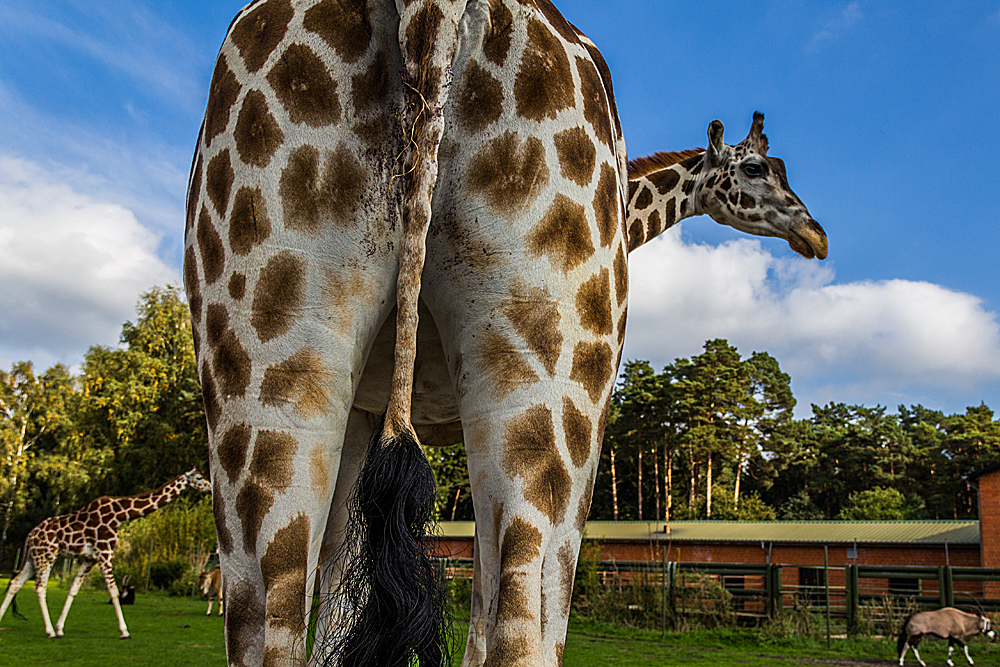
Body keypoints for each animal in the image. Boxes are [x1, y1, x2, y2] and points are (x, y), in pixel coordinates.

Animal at [0, 468, 211, 640]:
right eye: (199, 477)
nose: (210, 487)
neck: (120, 516)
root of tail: (29, 536)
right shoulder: (105, 553)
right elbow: (114, 591)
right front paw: (124, 631)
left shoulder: (89, 559)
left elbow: (73, 591)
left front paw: (61, 628)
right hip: (47, 555)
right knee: (39, 587)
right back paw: (49, 632)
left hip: (33, 558)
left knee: (16, 583)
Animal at [186, 1, 828, 667]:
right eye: (754, 167)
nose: (816, 234)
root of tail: (430, 9)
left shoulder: (365, 411)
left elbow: (343, 601)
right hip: (552, 397)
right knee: (523, 628)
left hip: (275, 368)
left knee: (273, 614)